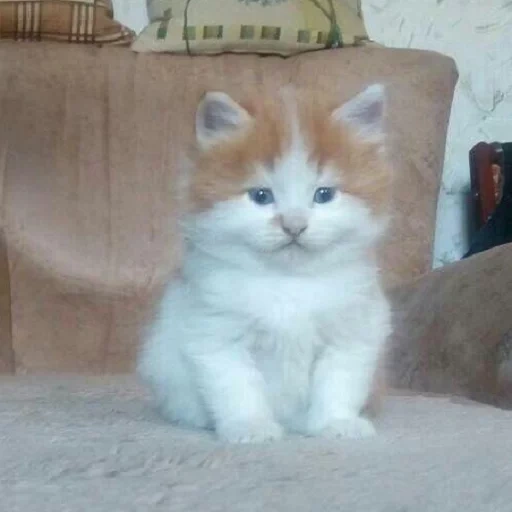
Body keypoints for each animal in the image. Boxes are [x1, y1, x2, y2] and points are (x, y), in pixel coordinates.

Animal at [138, 82, 394, 442]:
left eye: (324, 195)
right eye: (261, 196)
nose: (294, 225)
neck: (288, 282)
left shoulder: (354, 332)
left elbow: (338, 383)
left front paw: (336, 424)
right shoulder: (215, 332)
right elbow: (237, 387)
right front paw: (251, 427)